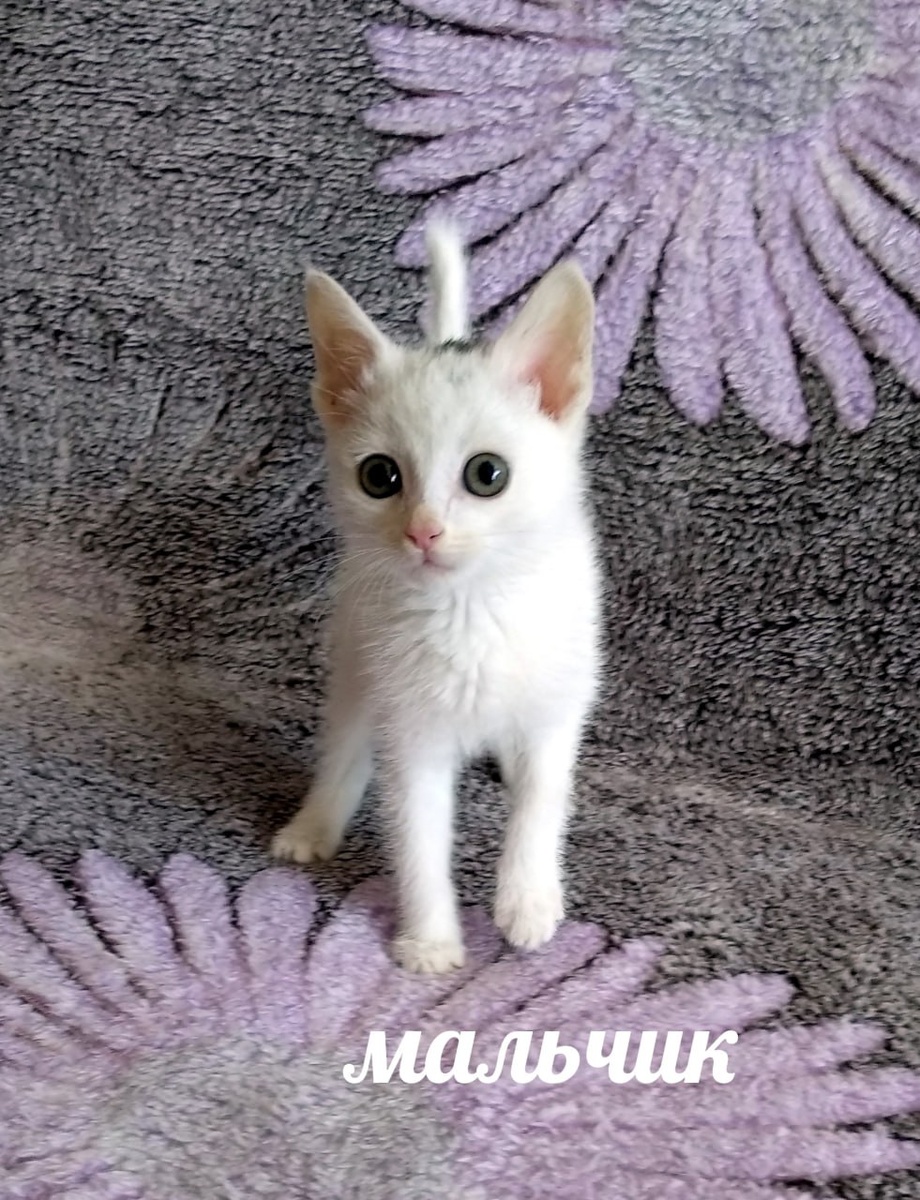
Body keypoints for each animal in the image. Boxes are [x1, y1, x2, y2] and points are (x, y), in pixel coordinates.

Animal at [272, 224, 601, 974]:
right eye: (380, 476)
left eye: (487, 474)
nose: (423, 531)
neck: (470, 612)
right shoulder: (410, 727)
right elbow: (418, 834)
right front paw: (430, 941)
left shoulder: (558, 701)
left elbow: (543, 799)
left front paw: (528, 899)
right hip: (355, 654)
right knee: (345, 743)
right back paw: (314, 824)